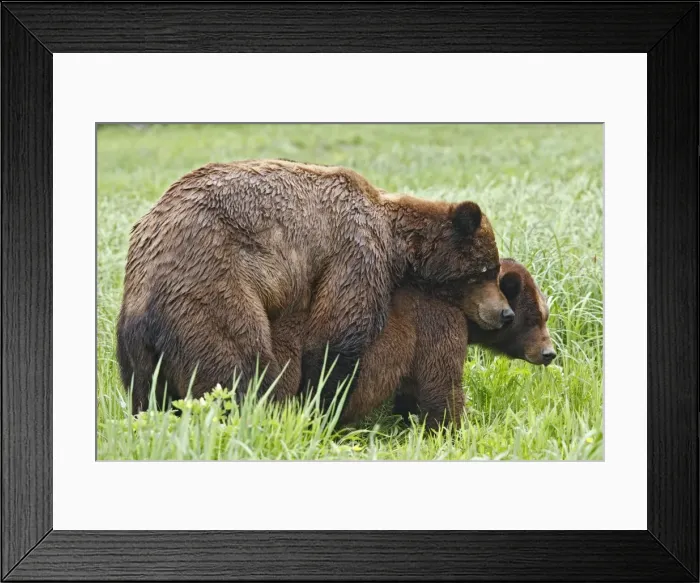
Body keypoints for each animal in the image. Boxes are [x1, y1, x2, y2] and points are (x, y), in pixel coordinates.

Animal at [116, 159, 503, 414]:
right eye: (486, 270)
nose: (504, 313)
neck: (397, 240)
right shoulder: (356, 250)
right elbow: (336, 333)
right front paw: (321, 403)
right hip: (210, 283)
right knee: (237, 365)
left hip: (134, 339)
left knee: (146, 393)